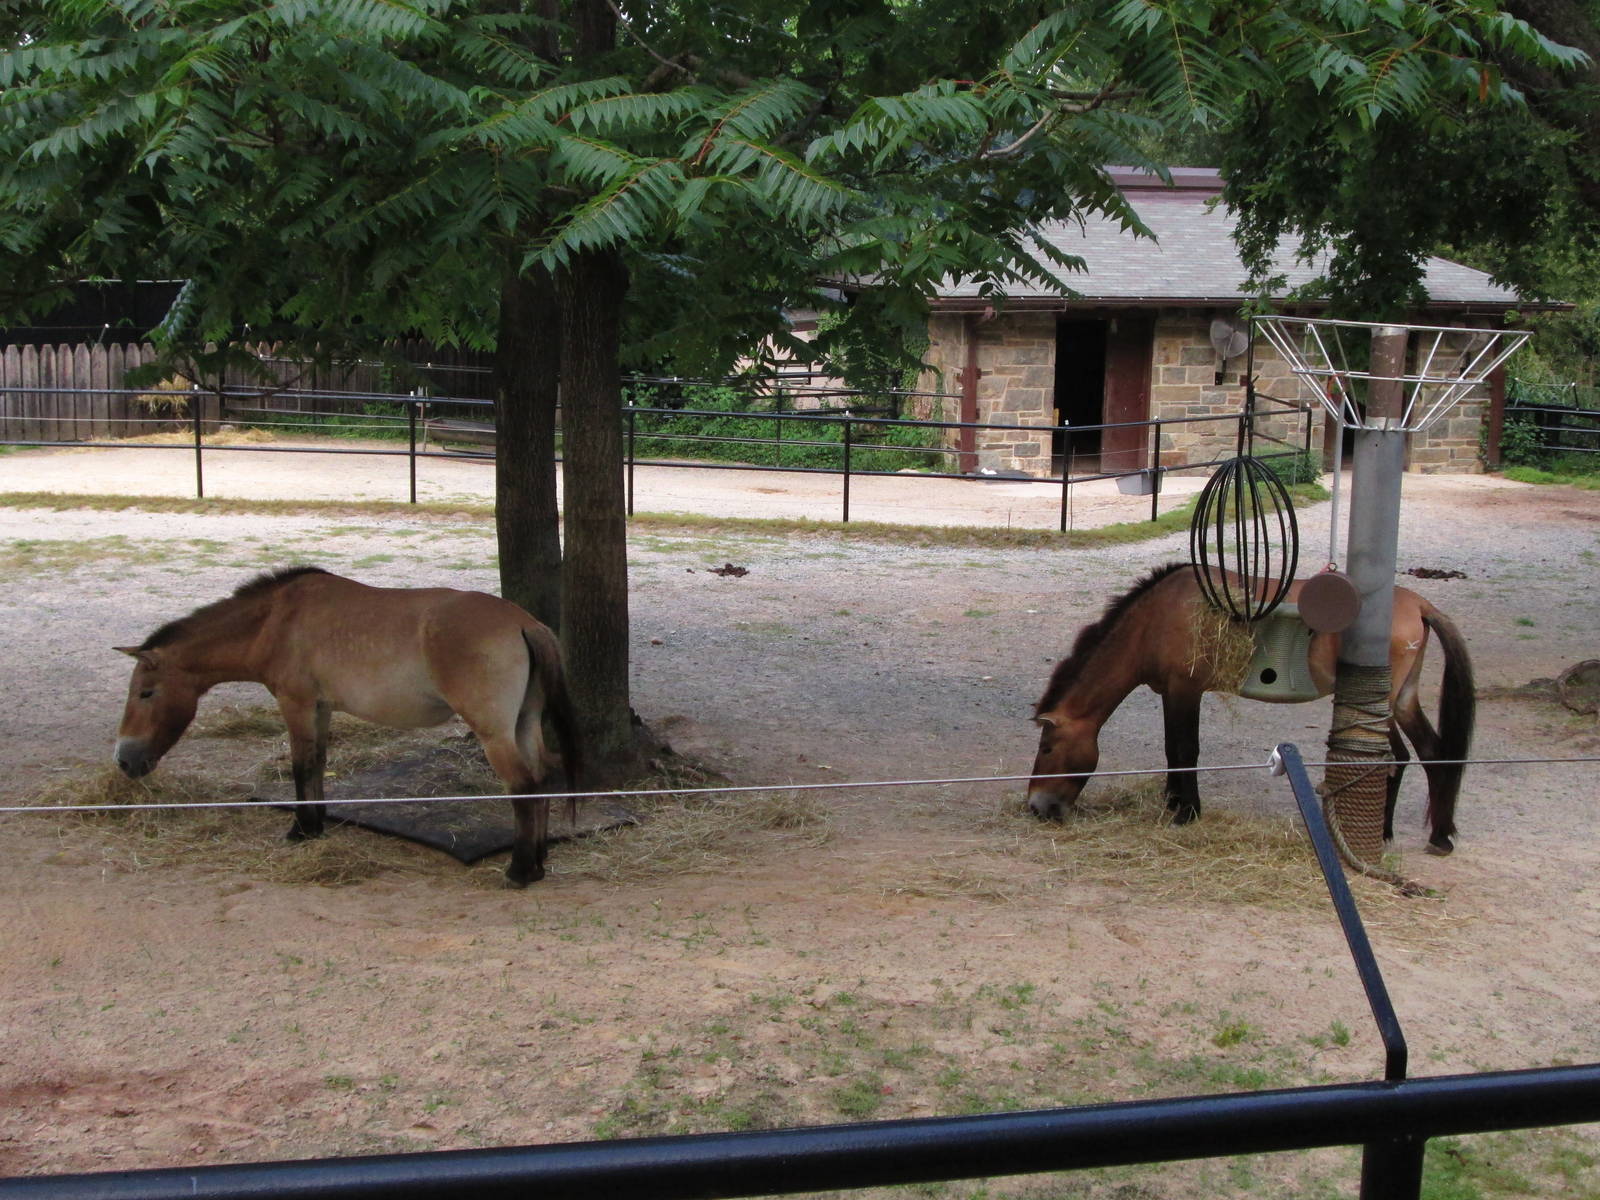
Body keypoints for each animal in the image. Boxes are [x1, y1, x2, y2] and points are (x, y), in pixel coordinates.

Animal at [113, 567, 583, 887]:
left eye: (146, 693)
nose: (124, 760)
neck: (277, 620)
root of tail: (524, 623)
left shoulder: (297, 704)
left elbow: (301, 766)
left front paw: (301, 830)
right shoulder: (320, 708)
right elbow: (318, 764)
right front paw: (316, 825)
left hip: (494, 734)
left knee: (523, 787)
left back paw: (520, 871)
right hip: (524, 724)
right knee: (542, 779)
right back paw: (538, 862)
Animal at [1026, 563, 1474, 855]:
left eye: (1047, 748)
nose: (1036, 807)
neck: (1157, 619)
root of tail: (1418, 604)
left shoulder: (1185, 691)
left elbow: (1184, 750)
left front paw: (1186, 811)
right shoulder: (1171, 693)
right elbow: (1173, 751)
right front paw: (1173, 801)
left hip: (1382, 703)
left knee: (1395, 758)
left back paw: (1383, 833)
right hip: (1402, 700)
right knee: (1425, 754)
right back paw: (1429, 835)